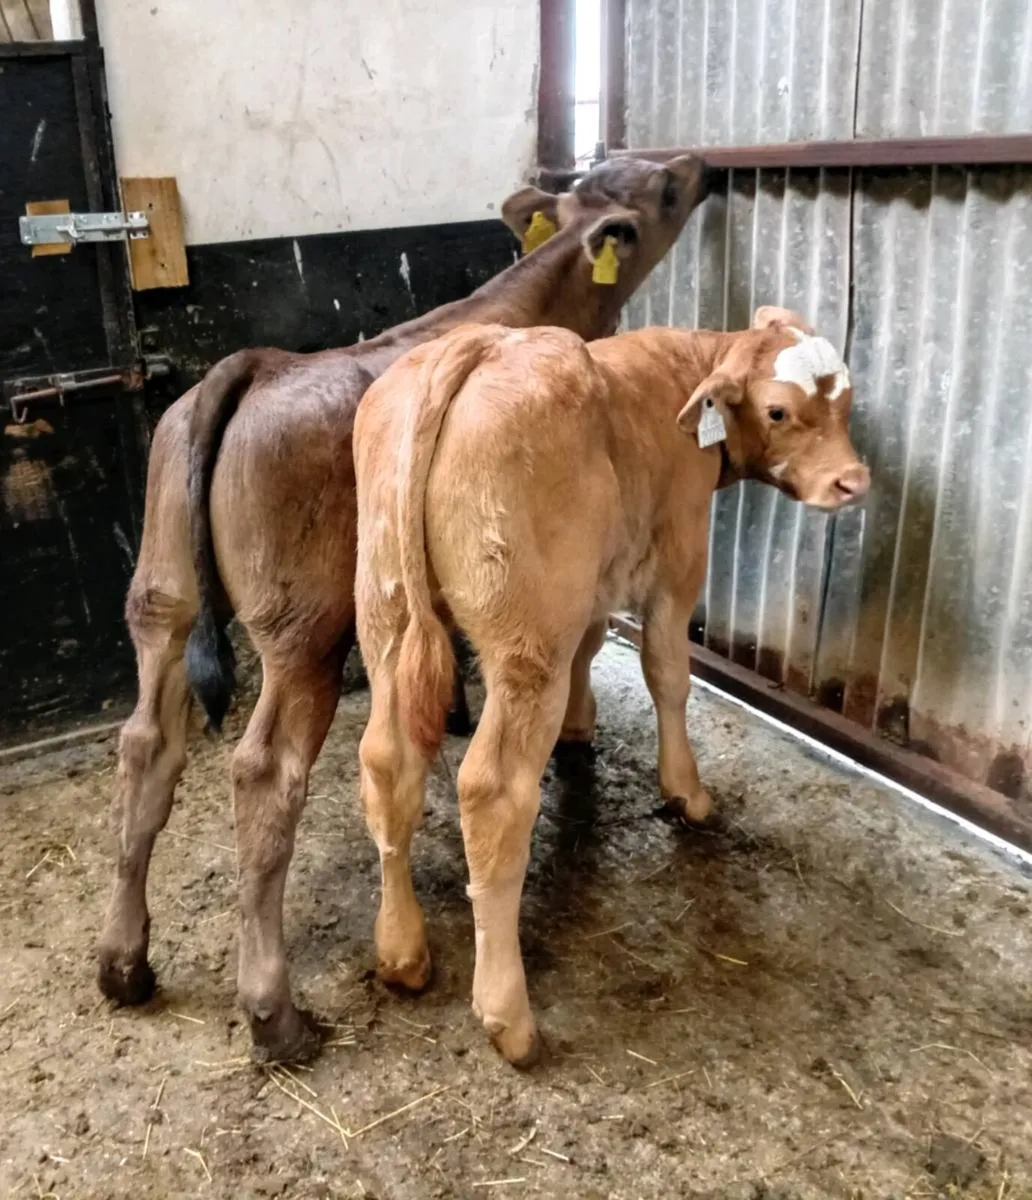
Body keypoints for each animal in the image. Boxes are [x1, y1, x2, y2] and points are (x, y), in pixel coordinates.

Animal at [96, 154, 713, 1065]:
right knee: (263, 772)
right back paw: (275, 1012)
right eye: (663, 191)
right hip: (303, 630)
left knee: (145, 745)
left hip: (163, 599)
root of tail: (251, 367)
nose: (700, 167)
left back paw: (123, 963)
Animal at [352, 306, 870, 1066]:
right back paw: (508, 1015)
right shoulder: (678, 560)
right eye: (779, 409)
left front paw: (580, 723)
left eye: (845, 400)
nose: (852, 482)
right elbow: (668, 674)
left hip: (386, 615)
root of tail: (474, 347)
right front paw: (687, 791)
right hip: (526, 643)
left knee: (387, 765)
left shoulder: (593, 586)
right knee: (492, 792)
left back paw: (400, 951)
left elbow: (592, 647)